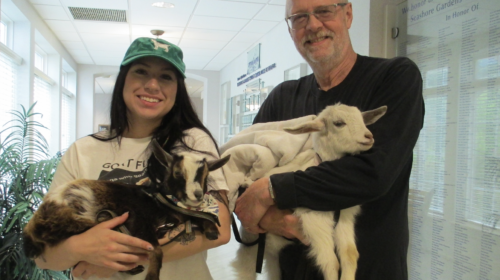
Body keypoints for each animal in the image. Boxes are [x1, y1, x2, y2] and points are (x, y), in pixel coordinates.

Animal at [233, 103, 386, 280]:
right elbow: (331, 262)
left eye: (362, 119)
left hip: (272, 255)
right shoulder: (313, 219)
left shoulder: (345, 219)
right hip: (250, 248)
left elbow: (350, 254)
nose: (369, 137)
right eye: (339, 123)